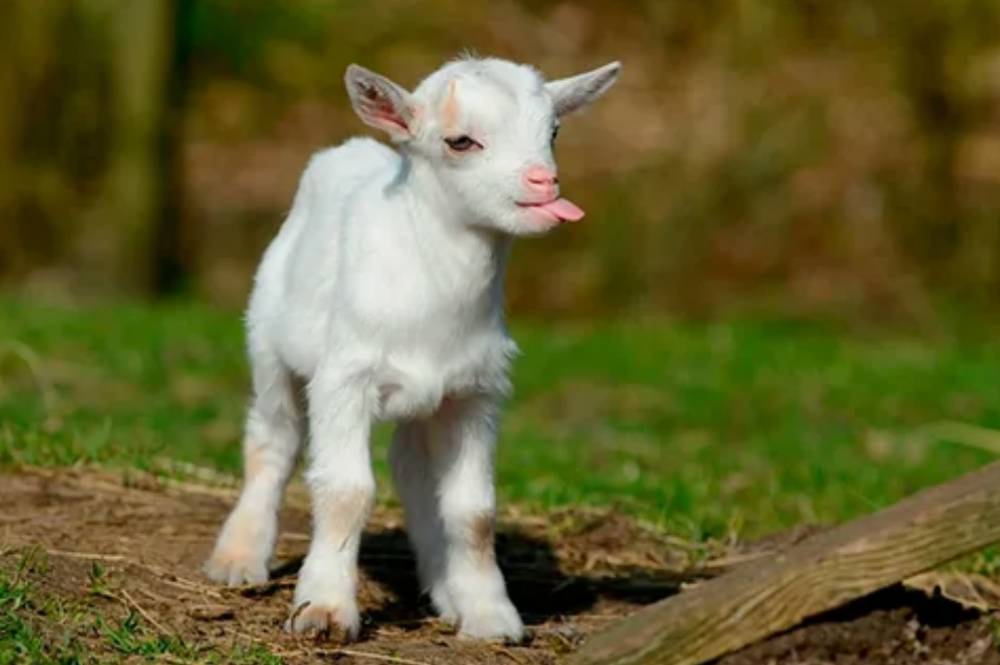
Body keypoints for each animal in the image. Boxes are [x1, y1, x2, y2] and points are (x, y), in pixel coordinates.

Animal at [207, 55, 620, 640]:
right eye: (460, 141)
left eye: (555, 131)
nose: (544, 182)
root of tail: (351, 148)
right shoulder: (345, 380)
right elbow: (346, 490)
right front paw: (324, 609)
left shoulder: (475, 393)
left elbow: (474, 509)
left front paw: (489, 614)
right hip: (268, 345)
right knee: (272, 440)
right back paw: (239, 558)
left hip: (426, 400)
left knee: (411, 466)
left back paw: (444, 587)